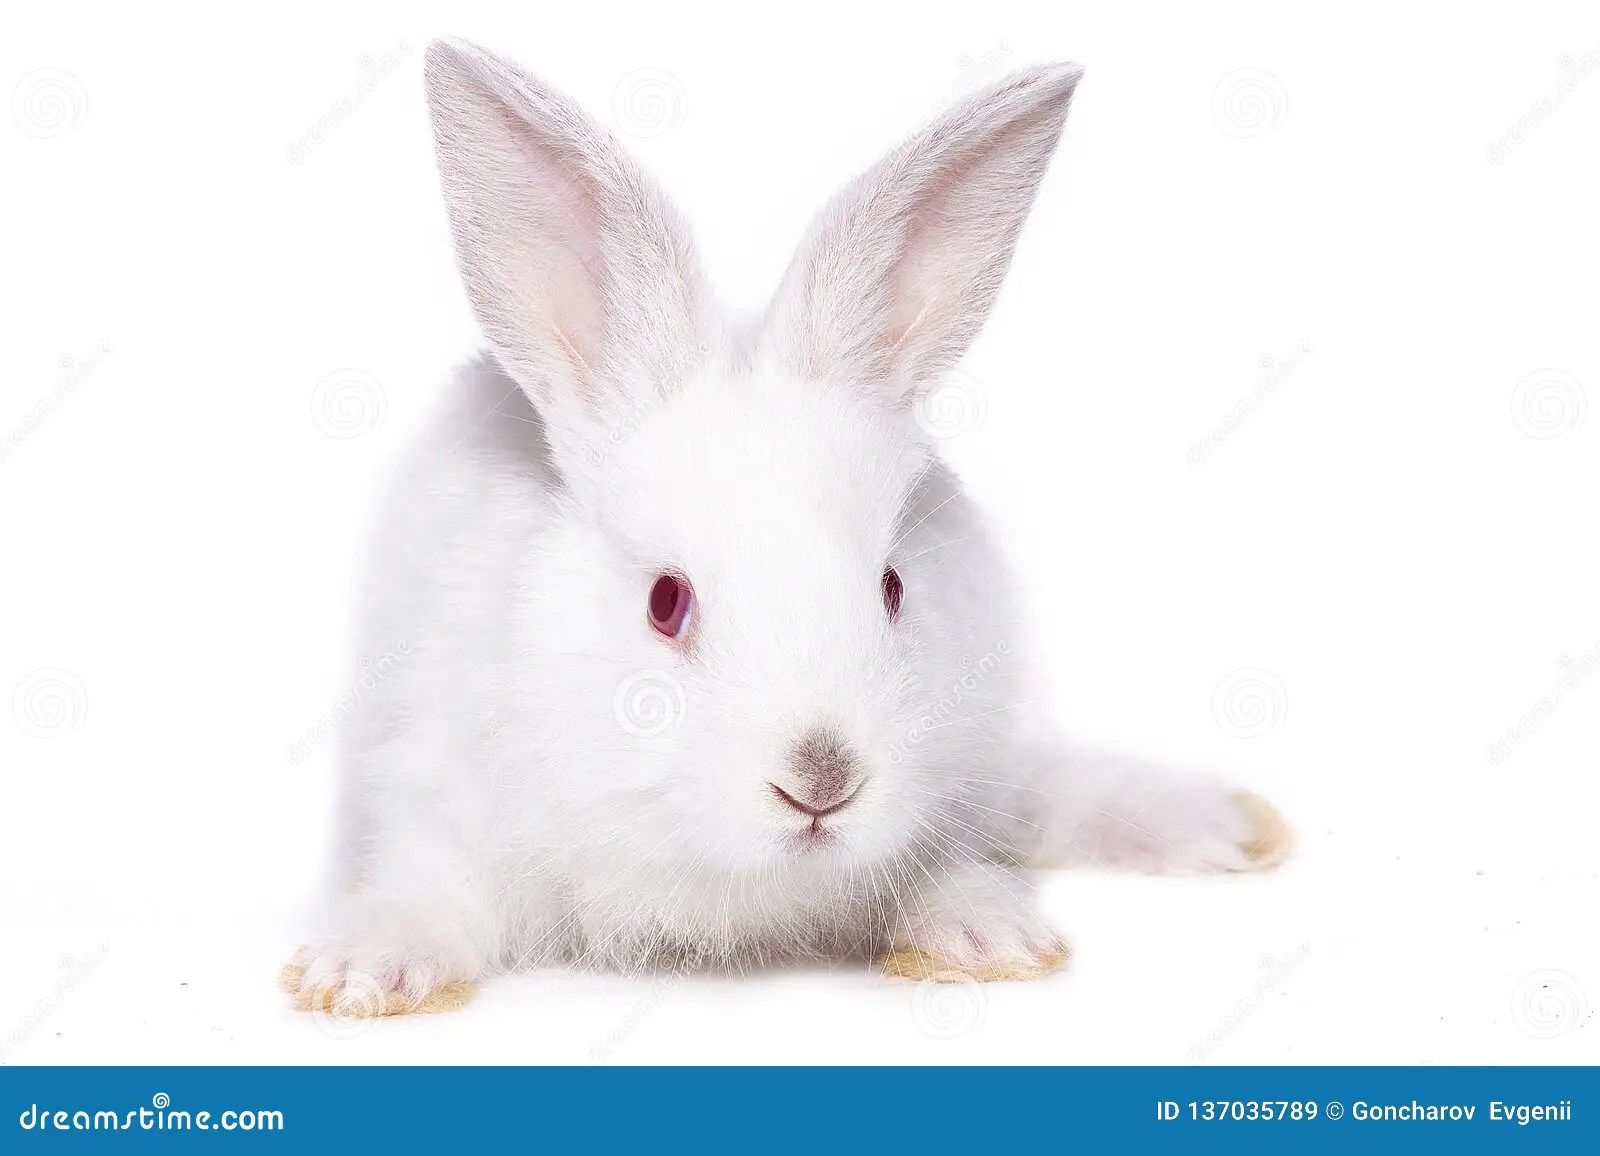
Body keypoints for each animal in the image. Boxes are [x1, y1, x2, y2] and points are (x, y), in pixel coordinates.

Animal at [286, 37, 1291, 1016]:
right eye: (664, 602)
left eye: (891, 588)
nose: (821, 782)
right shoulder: (442, 796)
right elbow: (429, 891)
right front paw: (361, 972)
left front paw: (989, 937)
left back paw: (1227, 825)